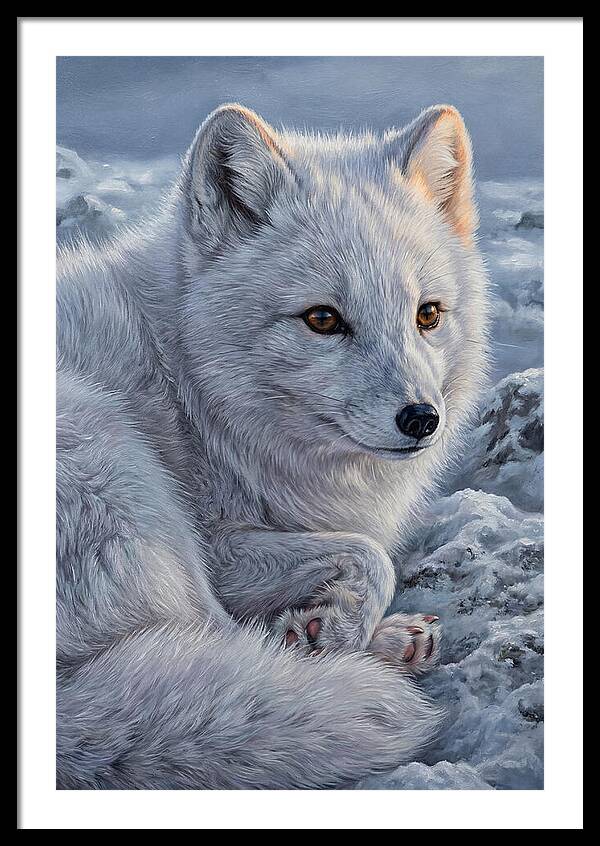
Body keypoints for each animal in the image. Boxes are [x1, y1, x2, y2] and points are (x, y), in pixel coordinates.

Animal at [56, 102, 489, 789]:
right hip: (117, 468)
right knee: (215, 641)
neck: (186, 384)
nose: (422, 419)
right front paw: (334, 630)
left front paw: (331, 625)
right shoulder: (217, 544)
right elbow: (372, 555)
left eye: (428, 315)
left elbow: (361, 554)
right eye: (322, 319)